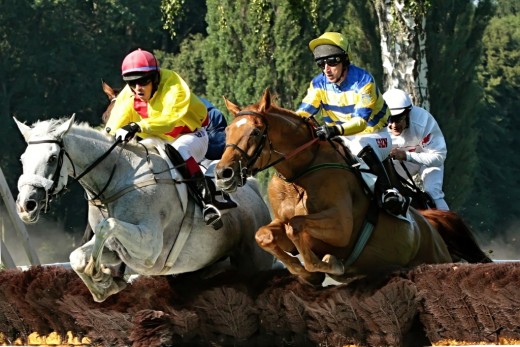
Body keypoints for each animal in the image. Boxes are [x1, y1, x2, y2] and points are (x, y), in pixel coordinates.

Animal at [14, 115, 274, 304]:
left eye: (52, 158)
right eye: (23, 158)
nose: (26, 205)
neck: (119, 180)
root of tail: (254, 191)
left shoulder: (149, 249)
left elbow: (107, 225)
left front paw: (101, 276)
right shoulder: (116, 249)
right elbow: (77, 256)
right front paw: (104, 286)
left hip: (254, 265)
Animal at [213, 89, 490, 286]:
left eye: (255, 131)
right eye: (227, 131)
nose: (223, 173)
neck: (300, 176)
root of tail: (427, 223)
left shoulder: (341, 225)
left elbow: (297, 226)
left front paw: (328, 265)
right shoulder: (281, 223)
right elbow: (265, 234)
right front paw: (308, 275)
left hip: (436, 258)